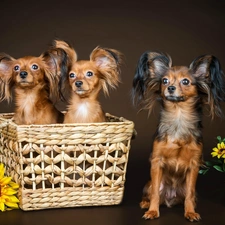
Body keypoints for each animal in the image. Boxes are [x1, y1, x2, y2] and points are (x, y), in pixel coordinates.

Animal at [132, 51, 225, 221]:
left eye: (185, 81)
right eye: (164, 80)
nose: (170, 87)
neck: (178, 116)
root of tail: (170, 198)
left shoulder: (194, 165)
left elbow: (189, 194)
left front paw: (190, 212)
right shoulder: (157, 162)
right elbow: (155, 193)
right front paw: (152, 211)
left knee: (190, 196)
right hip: (149, 184)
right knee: (152, 192)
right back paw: (145, 203)